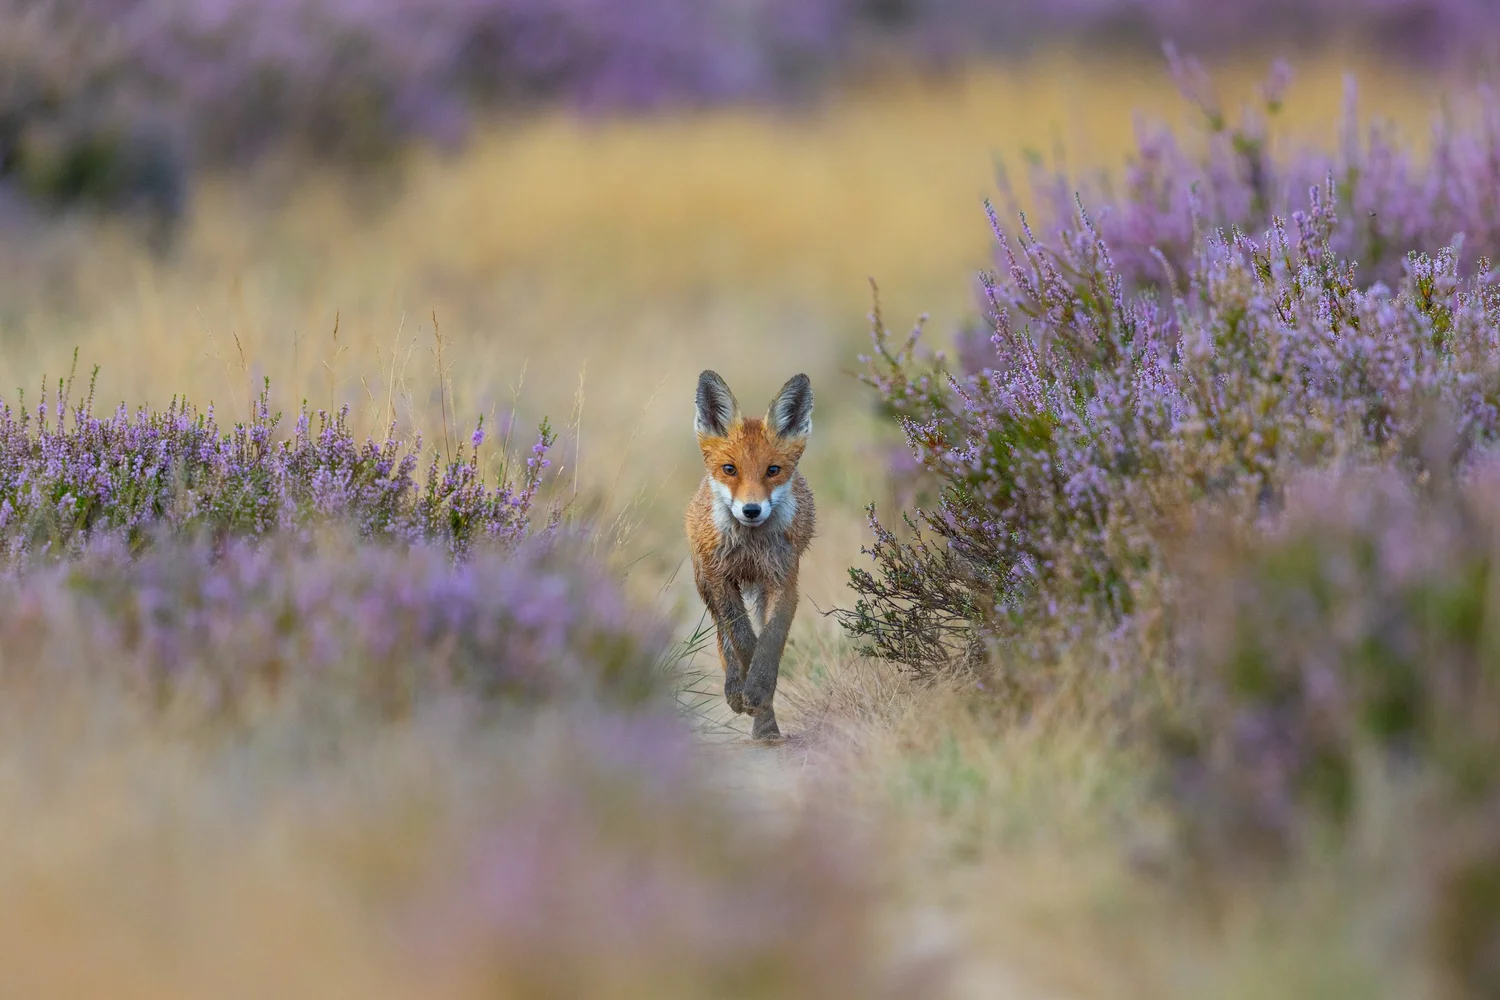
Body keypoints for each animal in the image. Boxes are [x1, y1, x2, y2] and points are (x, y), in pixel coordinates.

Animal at [685, 370, 816, 741]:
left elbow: (769, 642)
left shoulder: (784, 581)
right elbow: (743, 640)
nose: (751, 510)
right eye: (730, 469)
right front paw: (746, 692)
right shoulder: (720, 579)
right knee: (721, 636)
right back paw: (734, 688)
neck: (750, 549)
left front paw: (760, 698)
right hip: (704, 583)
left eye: (773, 470)